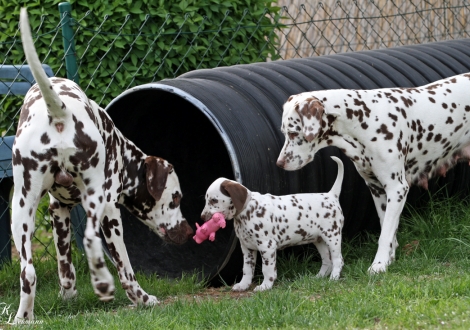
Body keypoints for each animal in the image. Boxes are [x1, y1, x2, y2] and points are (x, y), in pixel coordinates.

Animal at [11, 8, 193, 322]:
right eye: (176, 198)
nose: (189, 230)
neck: (121, 152)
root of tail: (60, 111)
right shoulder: (110, 212)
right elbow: (125, 269)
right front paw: (141, 299)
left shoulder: (58, 210)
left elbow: (66, 269)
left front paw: (68, 297)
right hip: (100, 210)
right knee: (103, 258)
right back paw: (118, 290)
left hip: (21, 211)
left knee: (28, 272)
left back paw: (24, 318)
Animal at [200, 157, 344, 292]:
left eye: (214, 200)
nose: (202, 217)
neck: (248, 210)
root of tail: (331, 195)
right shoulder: (247, 248)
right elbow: (247, 269)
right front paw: (243, 285)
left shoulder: (267, 246)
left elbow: (267, 269)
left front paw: (265, 286)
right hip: (319, 240)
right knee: (327, 261)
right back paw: (319, 277)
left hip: (332, 237)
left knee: (338, 260)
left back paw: (333, 278)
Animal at [276, 74, 470, 274]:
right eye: (284, 132)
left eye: (293, 132)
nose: (279, 163)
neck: (365, 121)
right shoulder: (377, 189)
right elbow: (388, 228)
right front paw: (389, 259)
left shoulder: (396, 189)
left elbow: (385, 235)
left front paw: (378, 264)